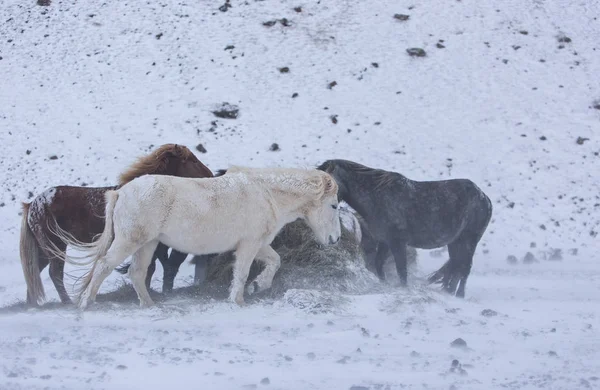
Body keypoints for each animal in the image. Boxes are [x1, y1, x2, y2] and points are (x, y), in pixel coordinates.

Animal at [19, 143, 214, 304]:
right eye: (192, 160)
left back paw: (33, 305)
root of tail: (33, 204)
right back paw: (67, 302)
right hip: (56, 247)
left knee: (34, 271)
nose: (210, 175)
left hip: (44, 249)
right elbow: (150, 268)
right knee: (55, 273)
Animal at [50, 166, 342, 310]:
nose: (335, 239)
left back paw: (149, 305)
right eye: (335, 205)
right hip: (129, 241)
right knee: (103, 266)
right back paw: (86, 303)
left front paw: (259, 286)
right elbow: (242, 272)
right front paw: (238, 299)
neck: (266, 193)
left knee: (136, 272)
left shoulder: (257, 244)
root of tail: (120, 192)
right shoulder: (249, 244)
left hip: (147, 244)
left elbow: (275, 261)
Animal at [316, 157, 490, 298]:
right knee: (456, 265)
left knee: (465, 268)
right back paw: (449, 292)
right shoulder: (385, 241)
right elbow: (379, 264)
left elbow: (401, 270)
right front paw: (384, 284)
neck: (376, 197)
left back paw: (459, 295)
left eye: (328, 184)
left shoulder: (398, 242)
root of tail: (485, 198)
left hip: (469, 240)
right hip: (455, 242)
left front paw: (403, 289)